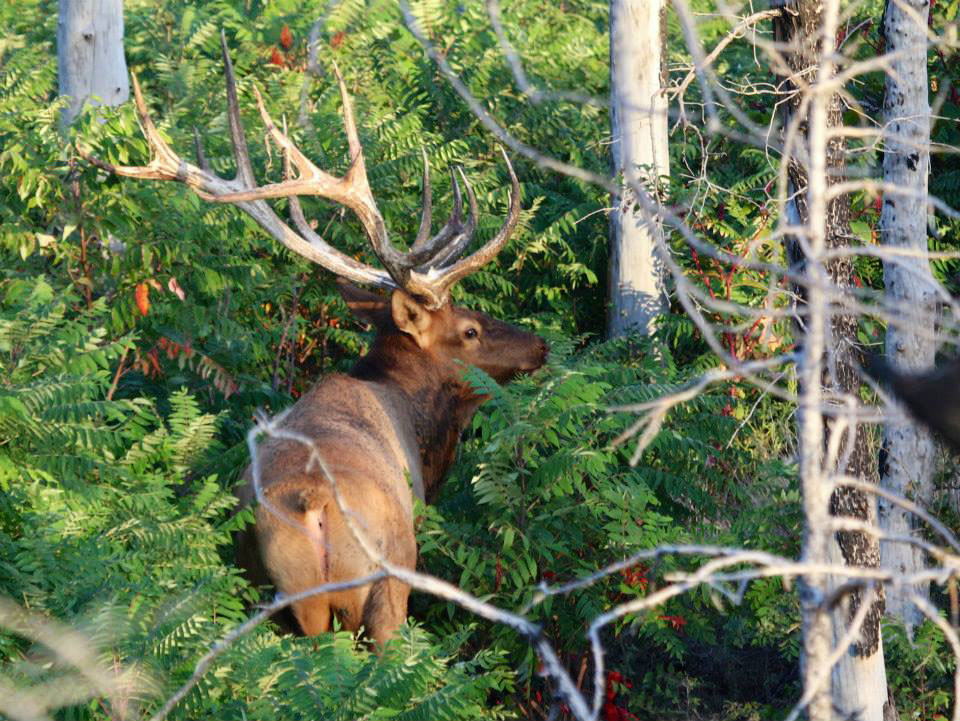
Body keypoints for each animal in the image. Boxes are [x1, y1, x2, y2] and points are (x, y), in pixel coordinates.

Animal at [98, 33, 552, 644]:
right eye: (471, 329)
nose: (540, 346)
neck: (418, 425)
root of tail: (312, 502)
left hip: (279, 599)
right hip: (386, 580)